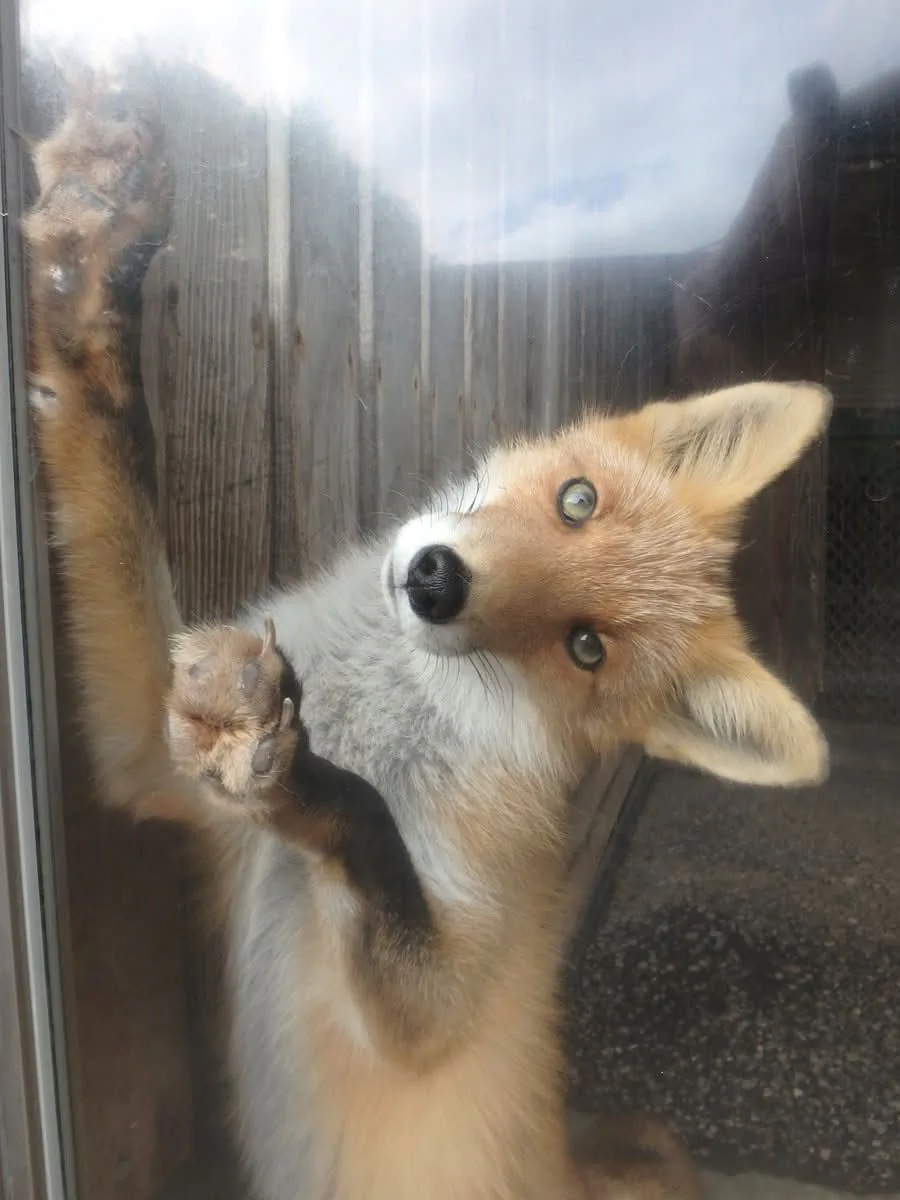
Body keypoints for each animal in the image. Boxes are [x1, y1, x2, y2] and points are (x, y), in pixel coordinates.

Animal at [23, 82, 831, 1200]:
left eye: (586, 647)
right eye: (576, 500)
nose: (436, 579)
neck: (385, 704)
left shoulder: (435, 1002)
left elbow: (374, 843)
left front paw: (304, 785)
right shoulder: (153, 746)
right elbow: (112, 457)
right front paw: (90, 284)